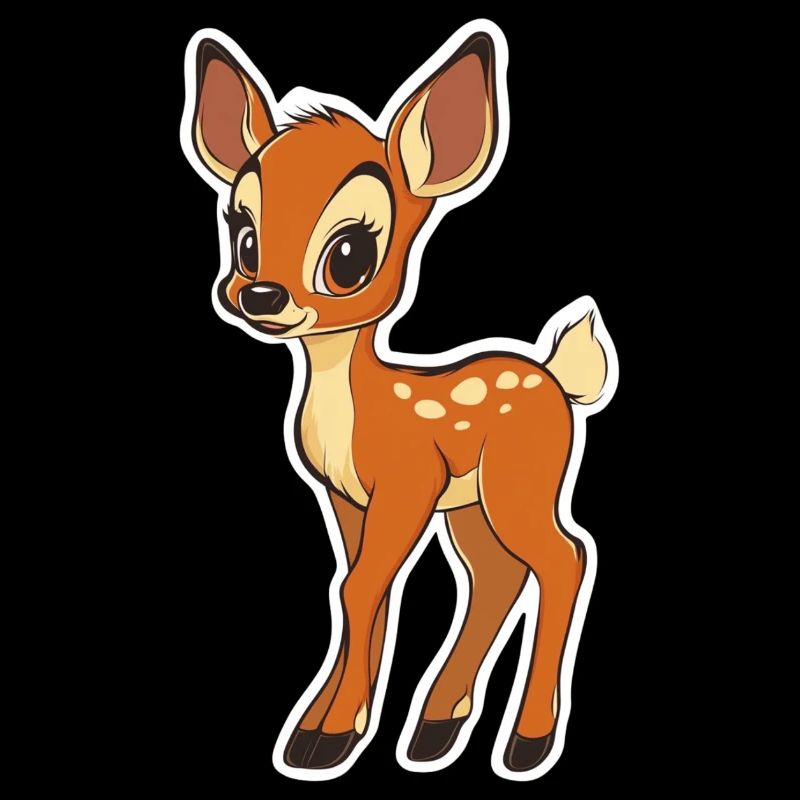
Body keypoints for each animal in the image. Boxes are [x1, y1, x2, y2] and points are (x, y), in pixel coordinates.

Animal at [181, 21, 617, 781]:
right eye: (243, 236)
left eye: (350, 254)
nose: (258, 295)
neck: (356, 409)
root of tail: (556, 378)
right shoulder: (346, 497)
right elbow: (357, 590)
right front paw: (321, 731)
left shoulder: (407, 483)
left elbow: (362, 588)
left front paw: (328, 738)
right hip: (473, 504)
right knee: (496, 576)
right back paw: (436, 729)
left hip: (520, 483)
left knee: (565, 558)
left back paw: (527, 743)